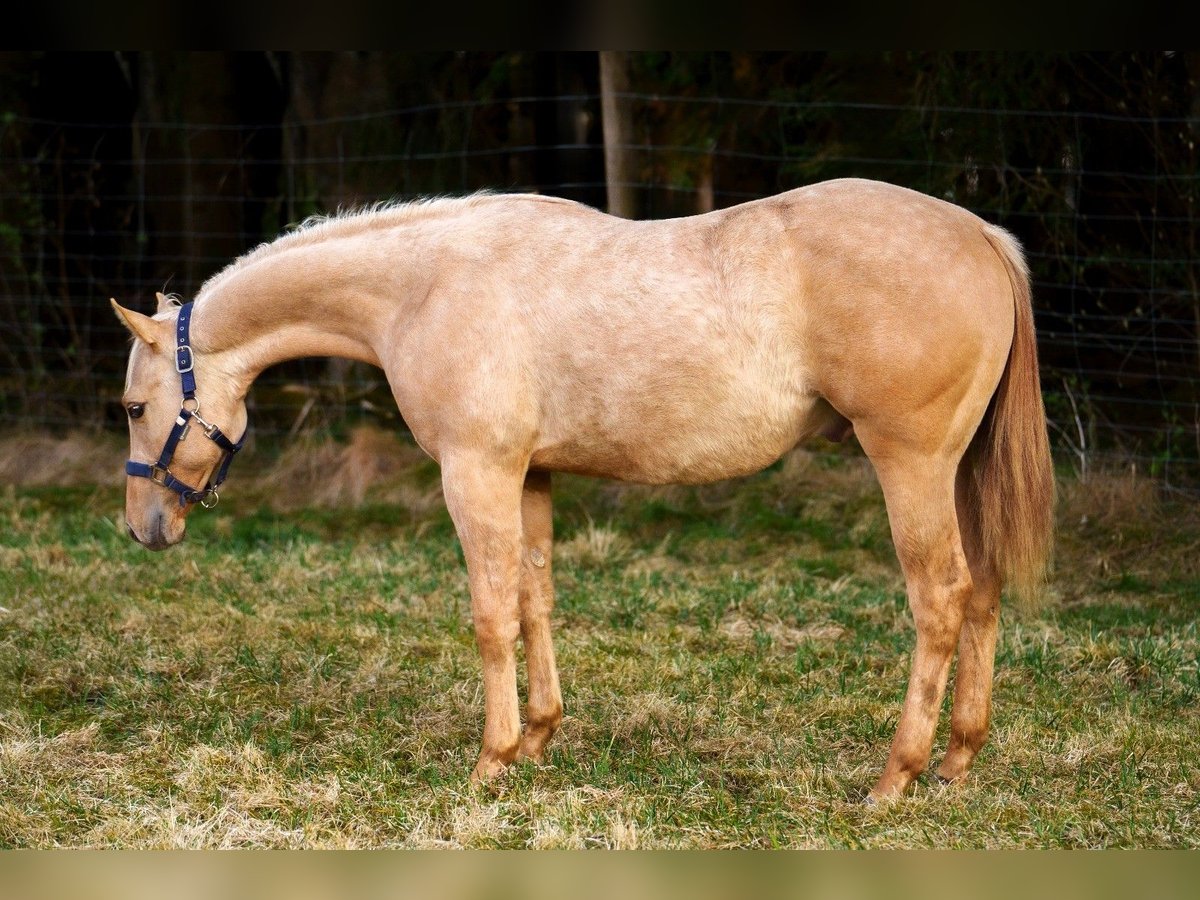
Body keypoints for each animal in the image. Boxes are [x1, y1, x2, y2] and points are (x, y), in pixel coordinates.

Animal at [112, 178, 1054, 800]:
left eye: (133, 406)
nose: (144, 528)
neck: (425, 284)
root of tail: (980, 233)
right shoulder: (530, 476)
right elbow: (536, 599)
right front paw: (537, 738)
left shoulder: (477, 472)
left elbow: (491, 614)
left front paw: (490, 761)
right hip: (958, 473)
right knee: (982, 593)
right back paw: (958, 760)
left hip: (911, 465)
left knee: (940, 598)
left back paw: (895, 776)